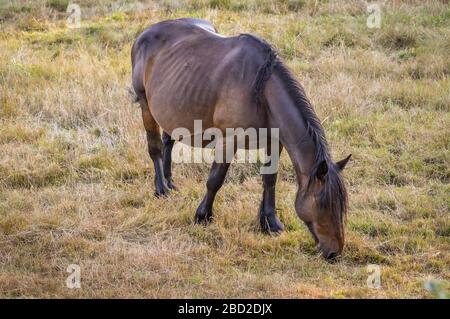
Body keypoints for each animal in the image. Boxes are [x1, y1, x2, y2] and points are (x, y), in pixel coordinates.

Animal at [130, 18, 352, 260]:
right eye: (323, 204)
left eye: (342, 206)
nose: (334, 253)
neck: (261, 92)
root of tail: (145, 33)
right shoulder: (229, 140)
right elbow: (215, 179)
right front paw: (203, 215)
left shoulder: (274, 143)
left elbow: (270, 179)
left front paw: (270, 222)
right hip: (146, 105)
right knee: (155, 148)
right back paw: (161, 188)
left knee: (168, 140)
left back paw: (170, 182)